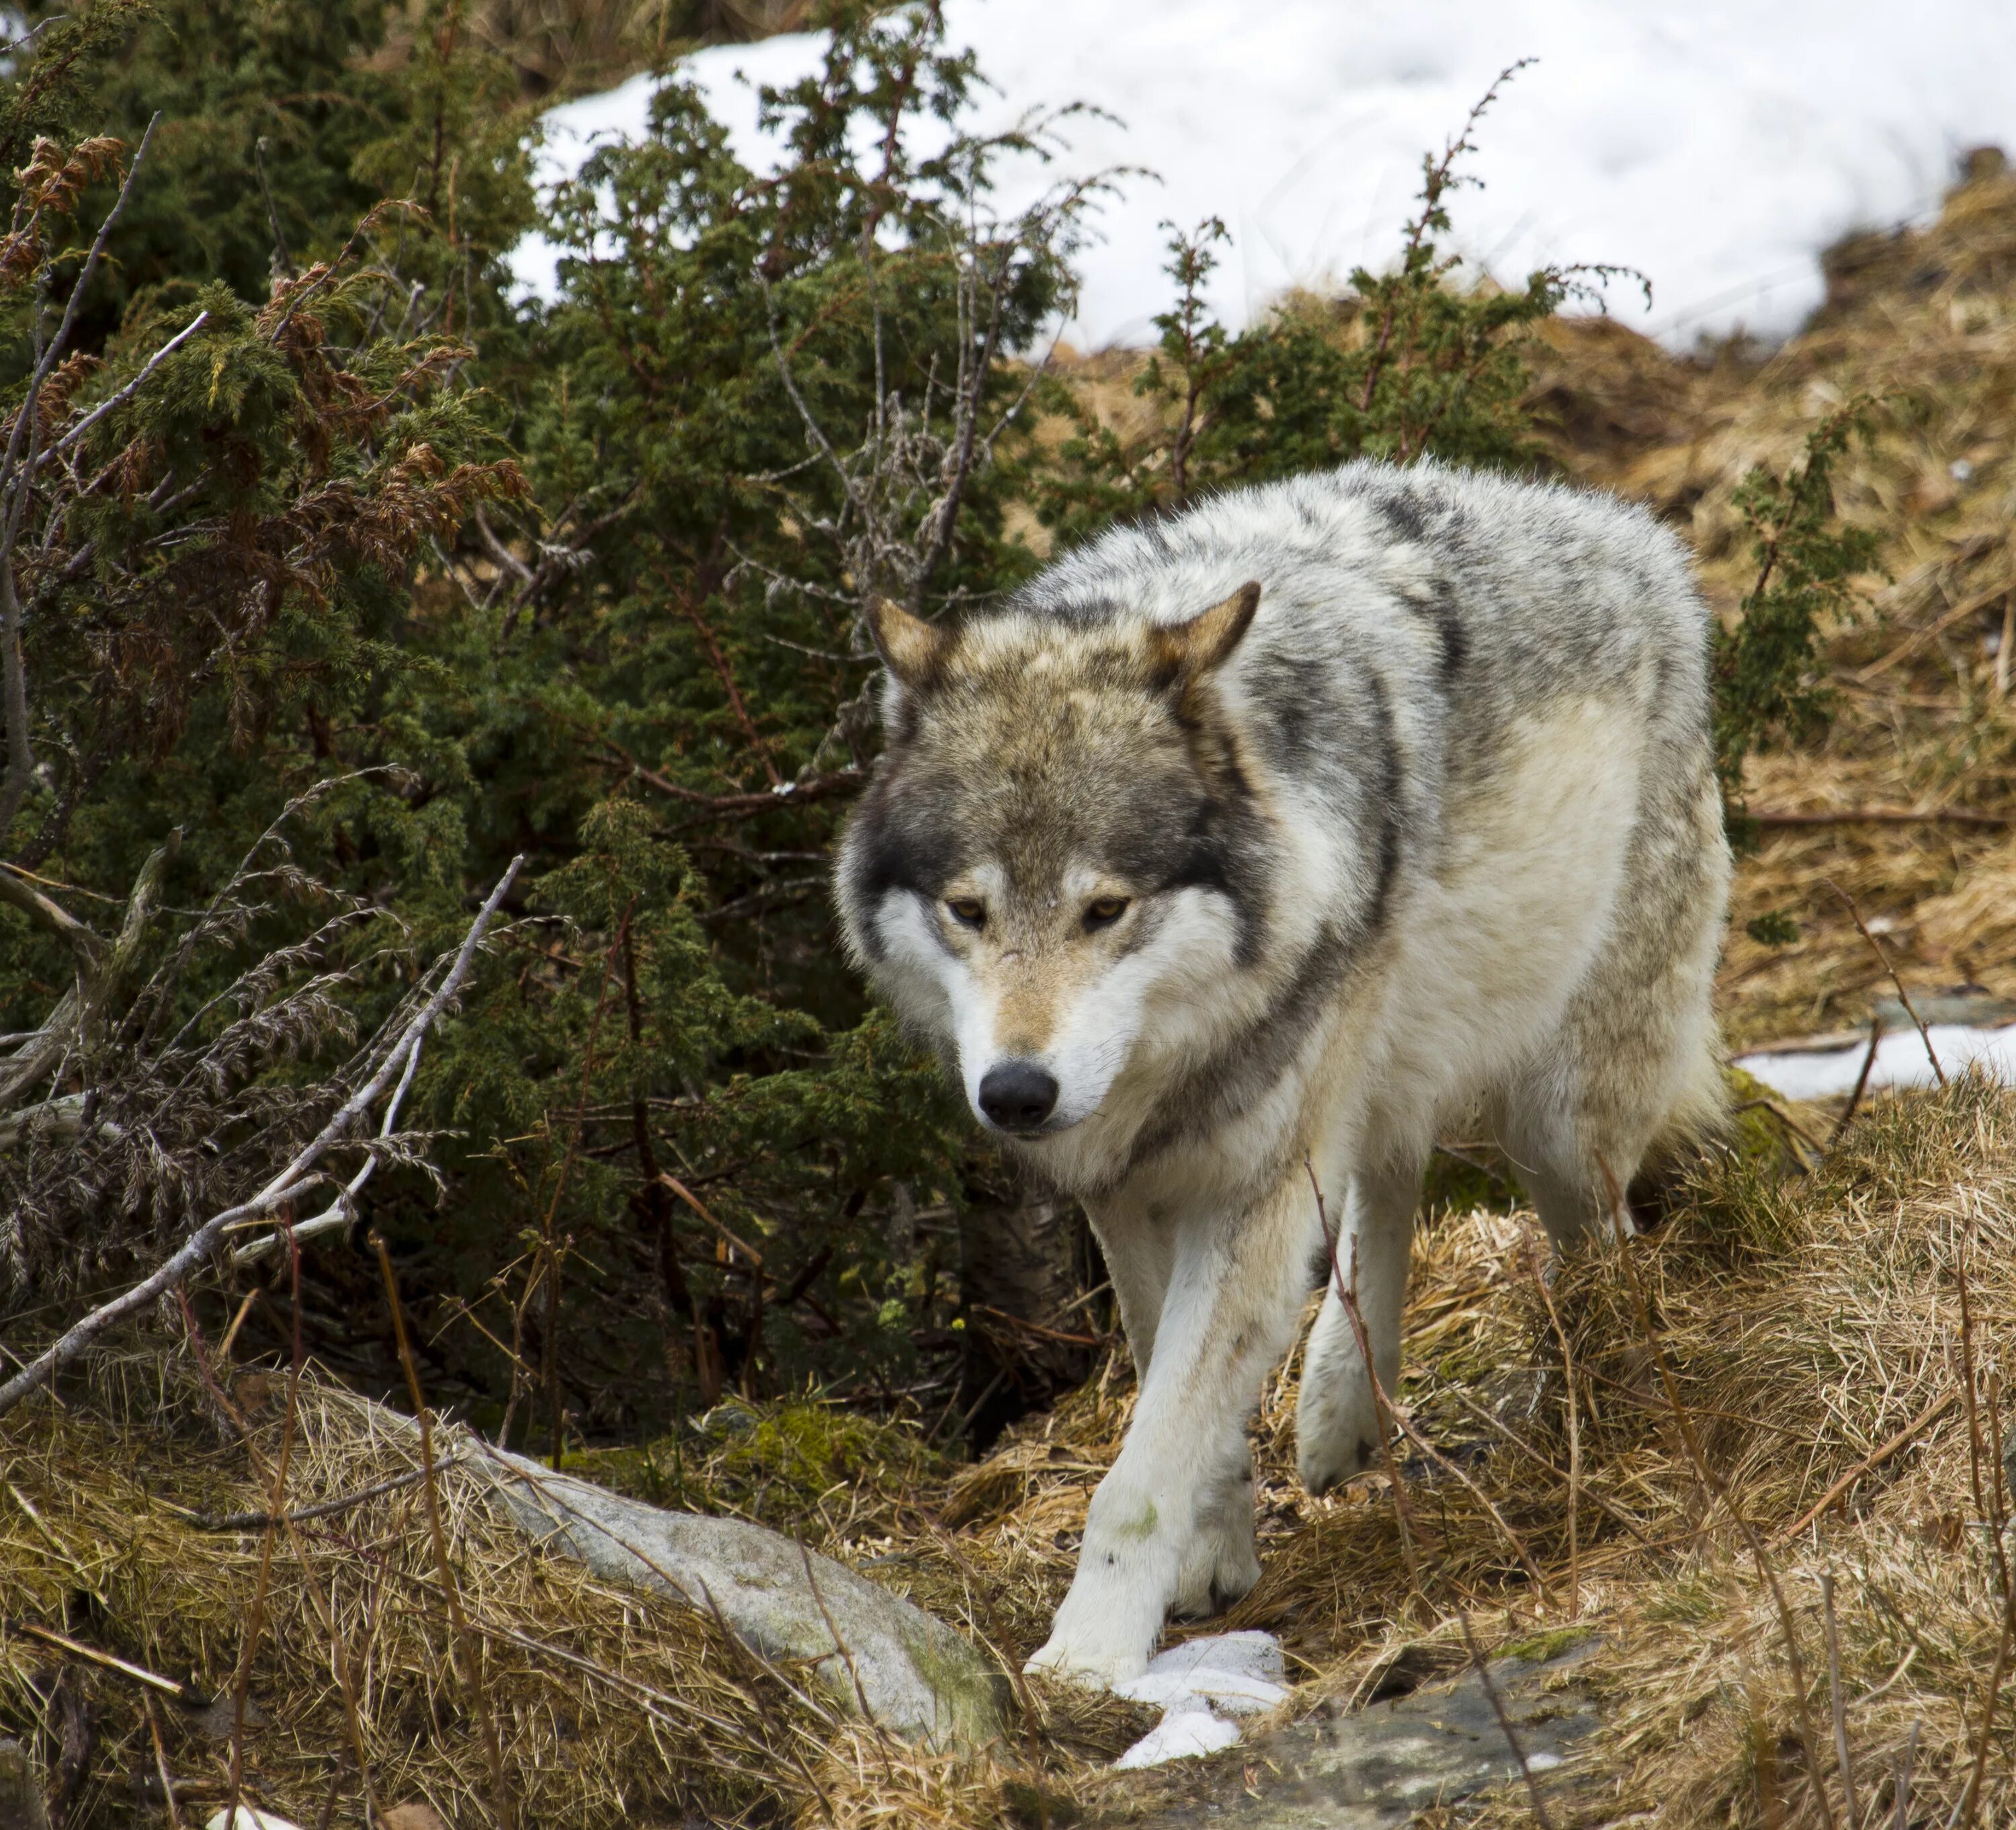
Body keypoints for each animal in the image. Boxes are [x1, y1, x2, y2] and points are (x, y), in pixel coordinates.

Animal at [835, 461, 1734, 1685]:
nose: (1017, 1093)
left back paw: (1605, 1403)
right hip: (1377, 1054)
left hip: (1548, 1116)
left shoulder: (1249, 1179)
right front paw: (1214, 1552)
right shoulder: (1129, 1185)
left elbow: (1138, 1472)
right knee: (1388, 1173)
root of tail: (1636, 535)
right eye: (967, 909)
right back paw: (1345, 1406)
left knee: (1593, 1245)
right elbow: (1174, 1396)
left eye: (1105, 909)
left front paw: (1088, 1656)